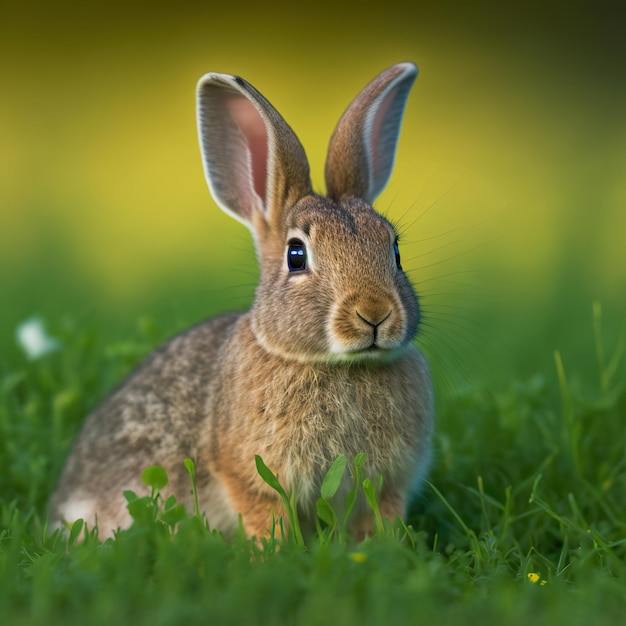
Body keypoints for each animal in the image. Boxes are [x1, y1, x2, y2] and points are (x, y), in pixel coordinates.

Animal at [48, 64, 432, 540]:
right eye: (296, 255)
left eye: (394, 249)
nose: (375, 313)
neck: (339, 365)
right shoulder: (250, 478)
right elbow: (268, 517)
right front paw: (278, 552)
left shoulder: (387, 484)